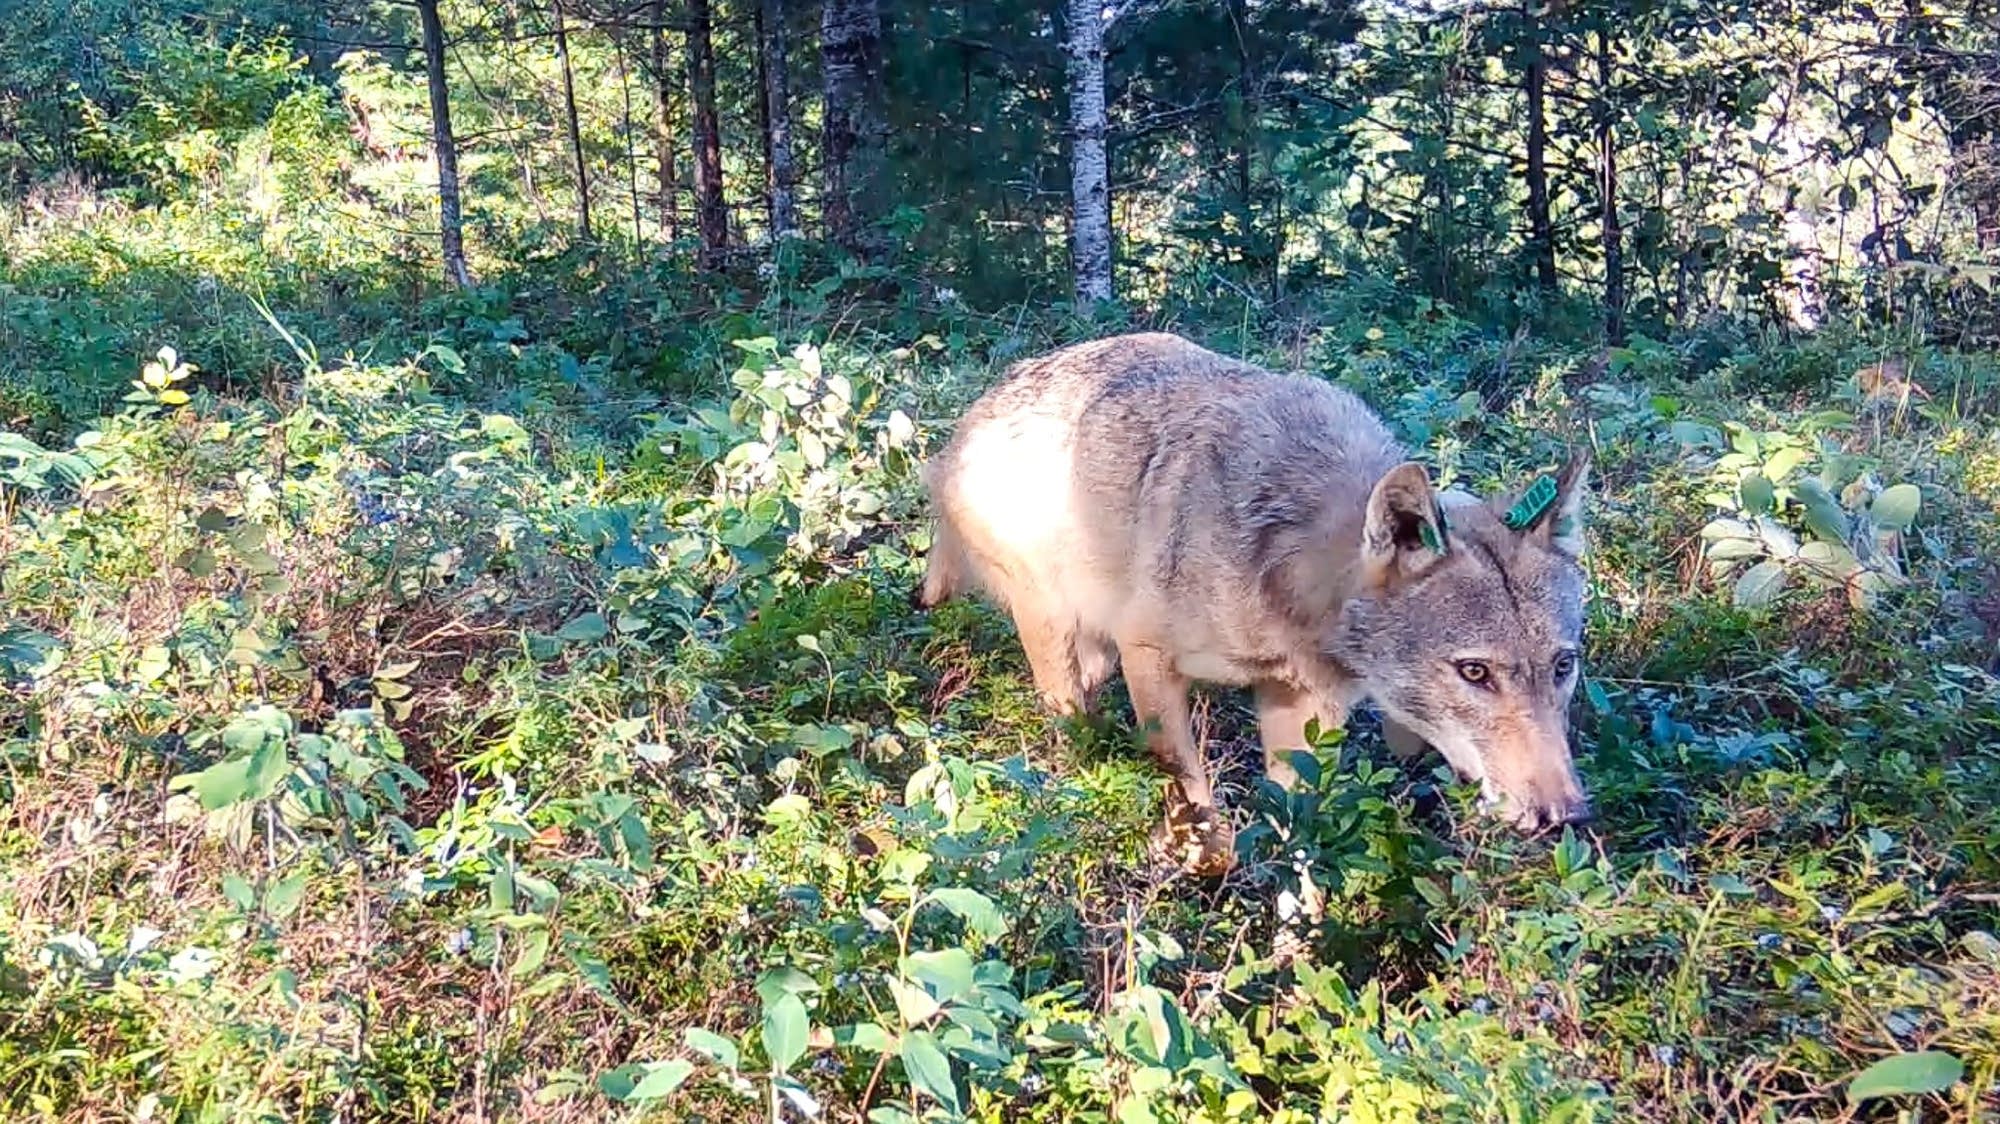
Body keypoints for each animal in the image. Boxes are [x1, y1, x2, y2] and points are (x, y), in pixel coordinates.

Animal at [914, 332, 1593, 875]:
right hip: (1060, 640)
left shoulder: (1303, 707)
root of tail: (967, 421)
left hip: (1096, 653)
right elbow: (1196, 805)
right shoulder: (1148, 657)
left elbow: (1299, 837)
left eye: (1564, 666)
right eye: (1474, 672)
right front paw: (1200, 863)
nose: (1564, 815)